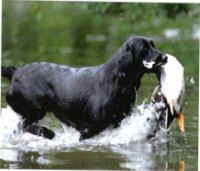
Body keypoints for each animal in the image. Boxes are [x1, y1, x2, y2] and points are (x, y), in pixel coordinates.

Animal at [1, 36, 167, 140]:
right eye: (144, 49)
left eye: (153, 45)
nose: (165, 57)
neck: (117, 80)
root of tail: (15, 71)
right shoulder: (89, 128)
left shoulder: (119, 121)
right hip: (35, 108)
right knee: (22, 126)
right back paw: (48, 133)